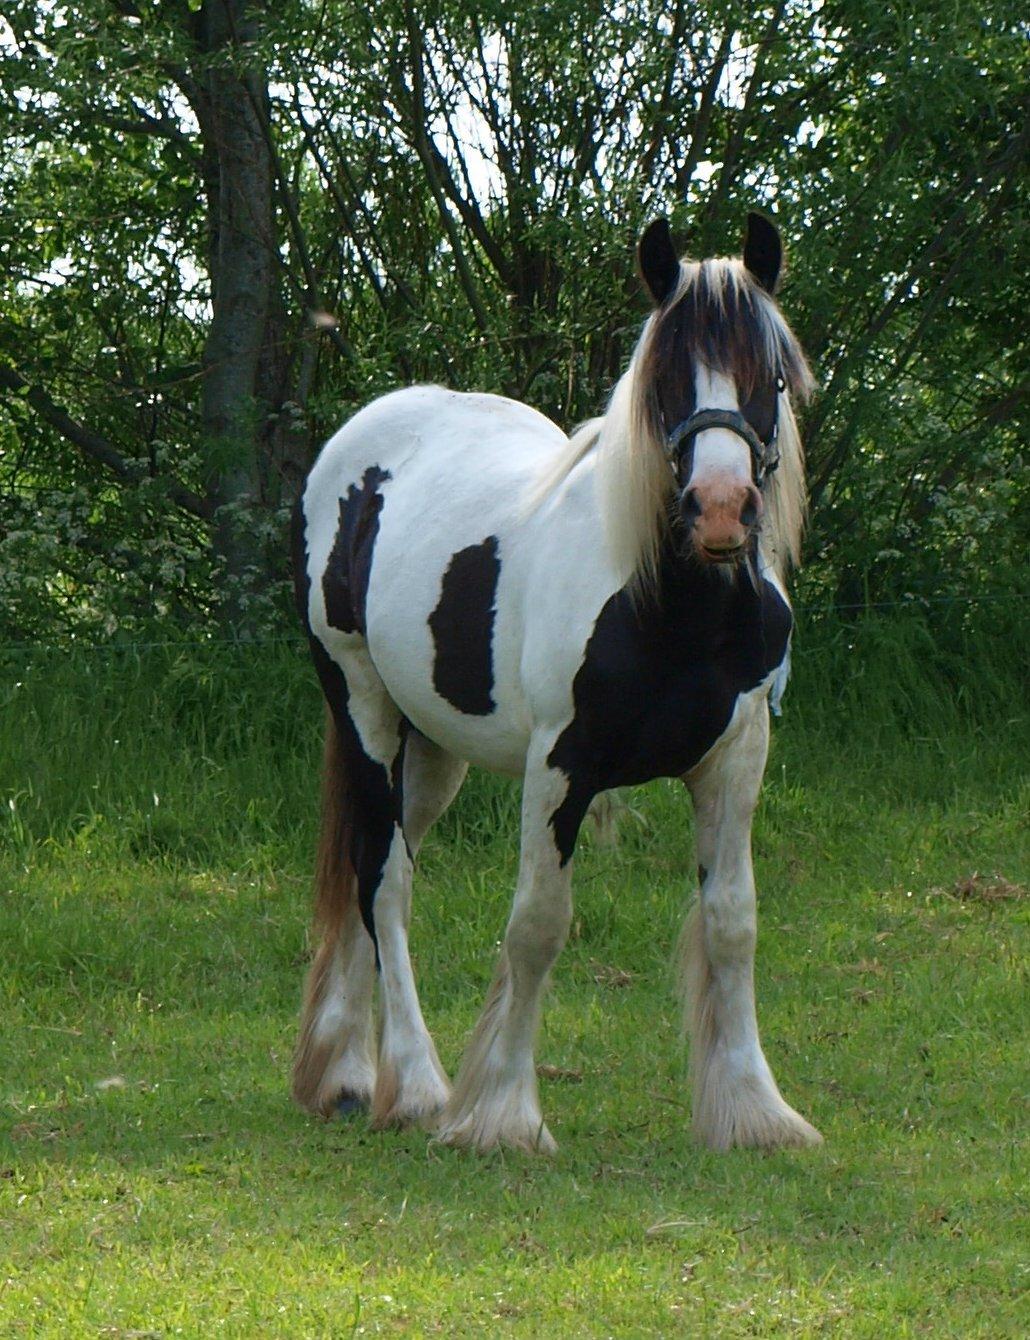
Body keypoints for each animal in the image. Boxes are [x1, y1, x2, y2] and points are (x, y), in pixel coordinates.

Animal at [289, 211, 819, 1152]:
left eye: (773, 375)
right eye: (663, 379)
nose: (720, 510)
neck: (669, 608)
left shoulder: (736, 759)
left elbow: (732, 924)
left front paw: (754, 1111)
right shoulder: (559, 767)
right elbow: (537, 926)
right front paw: (500, 1113)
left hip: (435, 751)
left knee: (371, 872)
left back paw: (348, 1077)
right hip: (364, 709)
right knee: (384, 880)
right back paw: (413, 1085)